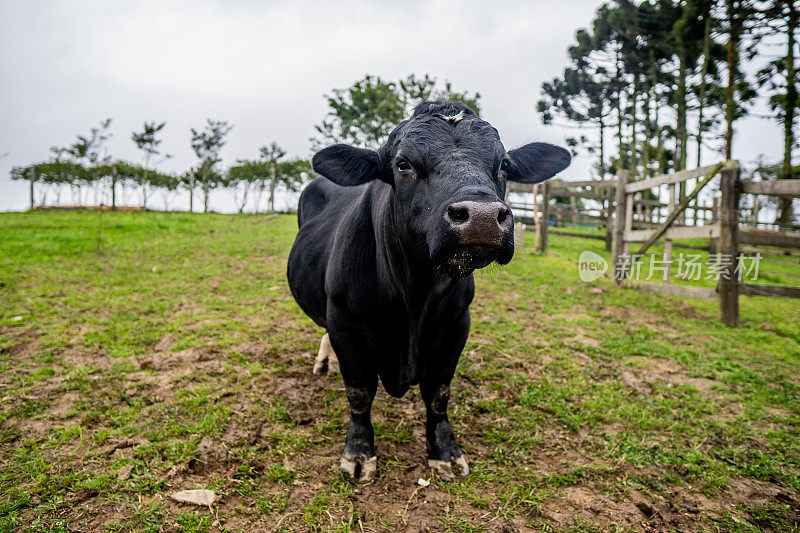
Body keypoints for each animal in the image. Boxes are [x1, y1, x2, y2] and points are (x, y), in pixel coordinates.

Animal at [288, 101, 568, 482]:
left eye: (504, 165)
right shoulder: (345, 322)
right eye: (404, 164)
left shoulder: (455, 325)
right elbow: (359, 394)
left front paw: (445, 450)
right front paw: (358, 452)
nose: (481, 217)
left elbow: (438, 394)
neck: (414, 296)